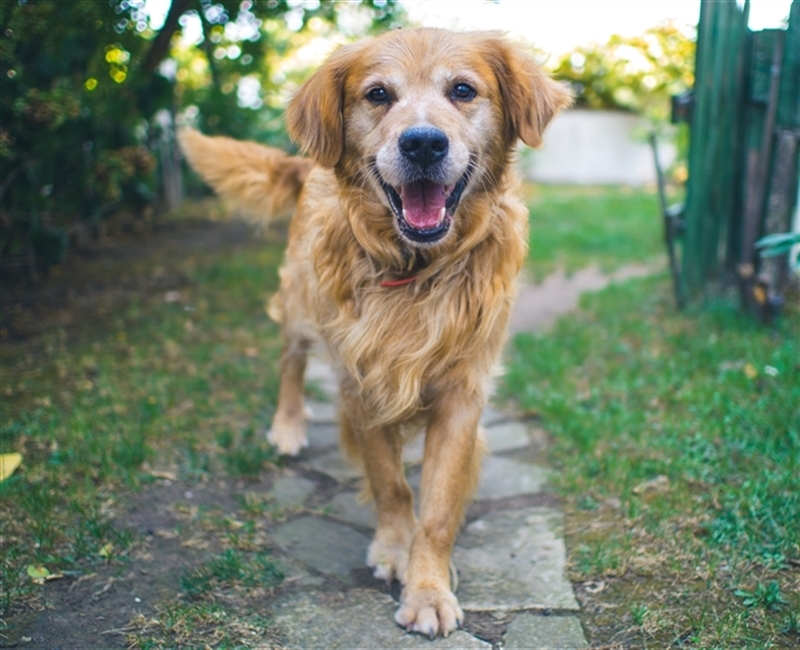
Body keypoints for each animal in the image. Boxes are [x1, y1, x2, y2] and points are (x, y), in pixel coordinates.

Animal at [179, 27, 572, 636]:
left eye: (463, 90)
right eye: (378, 94)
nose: (423, 144)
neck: (416, 269)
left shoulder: (462, 393)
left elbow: (437, 507)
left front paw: (428, 585)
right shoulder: (359, 382)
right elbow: (390, 482)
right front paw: (394, 548)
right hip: (301, 304)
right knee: (290, 361)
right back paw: (288, 425)